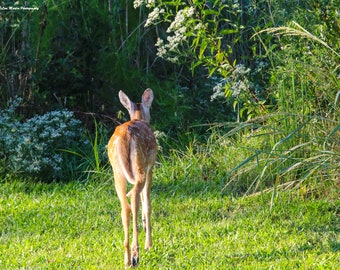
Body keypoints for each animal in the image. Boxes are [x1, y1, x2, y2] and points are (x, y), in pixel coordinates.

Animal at [107, 89, 157, 268]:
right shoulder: (151, 166)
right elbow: (147, 204)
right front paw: (149, 244)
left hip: (116, 171)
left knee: (125, 208)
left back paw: (127, 258)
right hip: (140, 165)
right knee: (134, 195)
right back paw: (136, 255)